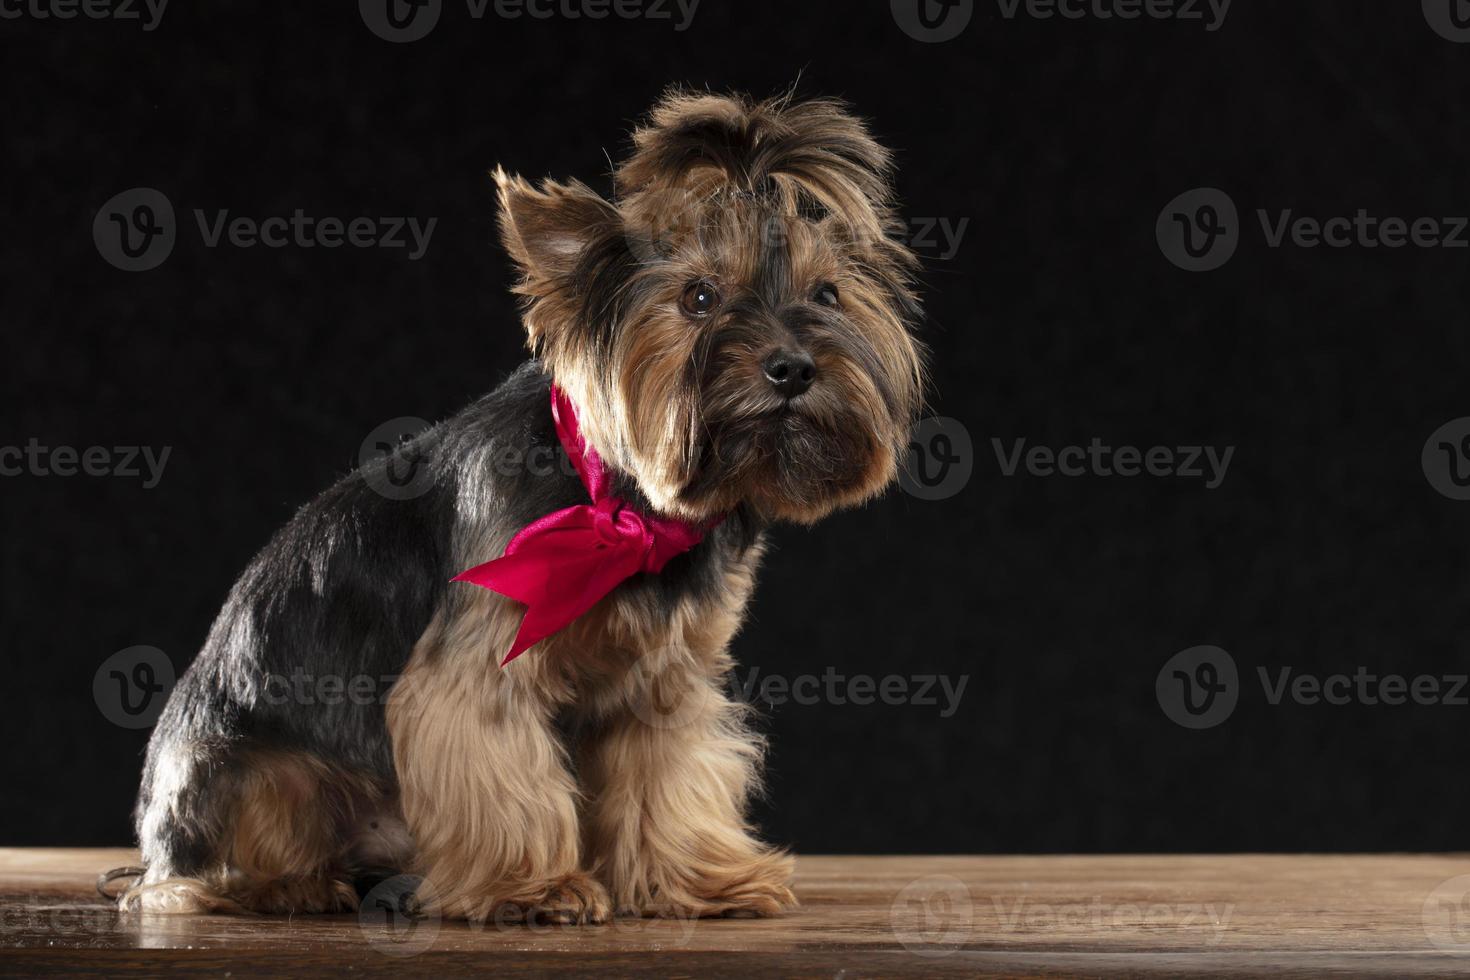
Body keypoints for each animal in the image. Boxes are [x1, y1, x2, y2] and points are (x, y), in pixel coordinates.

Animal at [123, 88, 929, 922]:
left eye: (827, 294)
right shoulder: (476, 671)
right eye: (699, 297)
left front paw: (694, 882)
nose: (793, 367)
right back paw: (293, 883)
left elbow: (666, 781)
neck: (621, 506)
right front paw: (533, 888)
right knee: (210, 868)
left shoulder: (662, 681)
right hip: (249, 776)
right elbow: (502, 770)